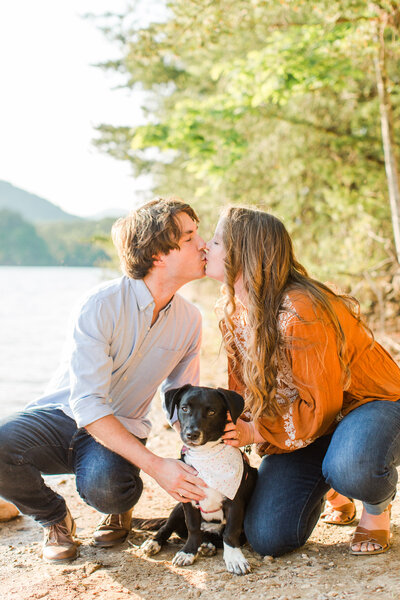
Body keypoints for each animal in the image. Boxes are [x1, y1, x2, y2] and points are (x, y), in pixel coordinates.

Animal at [141, 384, 258, 576]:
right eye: (184, 408)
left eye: (211, 412)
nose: (191, 434)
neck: (206, 454)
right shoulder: (188, 499)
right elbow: (193, 528)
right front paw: (188, 552)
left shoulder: (235, 503)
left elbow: (230, 532)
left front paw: (235, 558)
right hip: (177, 508)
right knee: (167, 526)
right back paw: (154, 542)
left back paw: (208, 545)